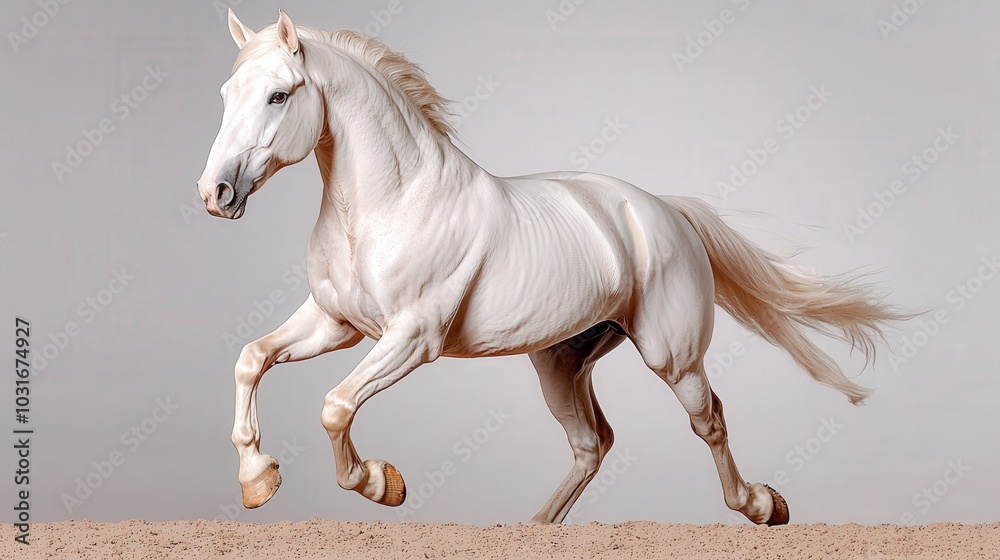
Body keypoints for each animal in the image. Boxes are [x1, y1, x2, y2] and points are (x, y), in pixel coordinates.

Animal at [196, 9, 905, 526]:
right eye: (226, 93)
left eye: (279, 95)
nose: (215, 193)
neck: (392, 203)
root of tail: (665, 211)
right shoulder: (336, 322)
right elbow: (251, 360)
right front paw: (258, 480)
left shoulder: (411, 339)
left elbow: (336, 406)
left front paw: (380, 483)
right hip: (560, 364)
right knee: (593, 443)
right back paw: (538, 527)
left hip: (672, 356)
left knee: (708, 421)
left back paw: (761, 504)